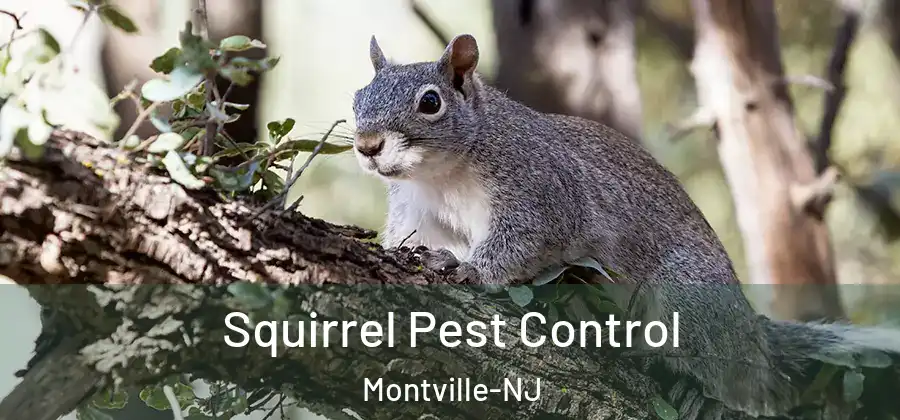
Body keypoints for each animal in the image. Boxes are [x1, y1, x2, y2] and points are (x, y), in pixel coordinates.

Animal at [350, 34, 900, 418]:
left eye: (430, 102)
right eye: (358, 97)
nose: (367, 145)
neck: (442, 173)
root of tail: (752, 334)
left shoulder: (543, 192)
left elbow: (522, 242)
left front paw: (470, 269)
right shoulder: (419, 211)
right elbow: (411, 238)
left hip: (689, 297)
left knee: (738, 380)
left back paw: (700, 391)